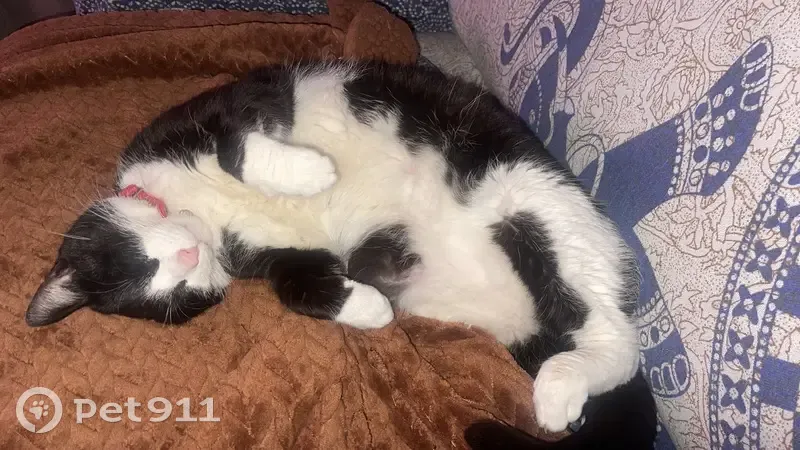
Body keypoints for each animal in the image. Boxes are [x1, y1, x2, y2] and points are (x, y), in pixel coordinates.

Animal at [26, 60, 656, 448]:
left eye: (141, 266)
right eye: (176, 295)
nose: (185, 258)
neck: (201, 213)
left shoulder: (215, 111)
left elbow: (238, 148)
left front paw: (308, 172)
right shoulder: (272, 254)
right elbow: (295, 283)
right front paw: (369, 310)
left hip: (532, 205)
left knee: (617, 337)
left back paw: (557, 391)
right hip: (456, 296)